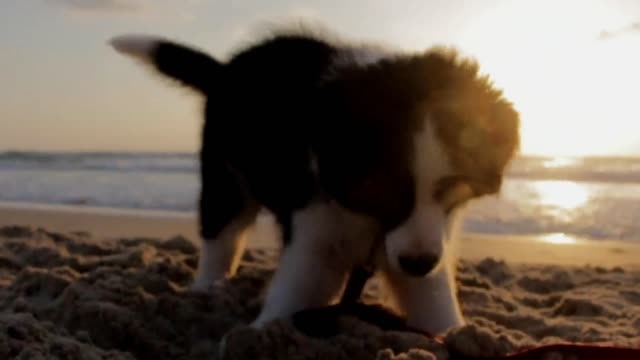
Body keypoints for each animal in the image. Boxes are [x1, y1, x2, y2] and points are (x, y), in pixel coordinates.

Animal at [110, 26, 520, 336]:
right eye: (381, 188)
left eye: (450, 186)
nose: (418, 263)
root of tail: (226, 70)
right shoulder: (315, 233)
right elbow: (297, 291)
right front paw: (260, 334)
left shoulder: (428, 240)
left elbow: (435, 304)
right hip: (224, 178)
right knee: (221, 236)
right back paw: (207, 290)